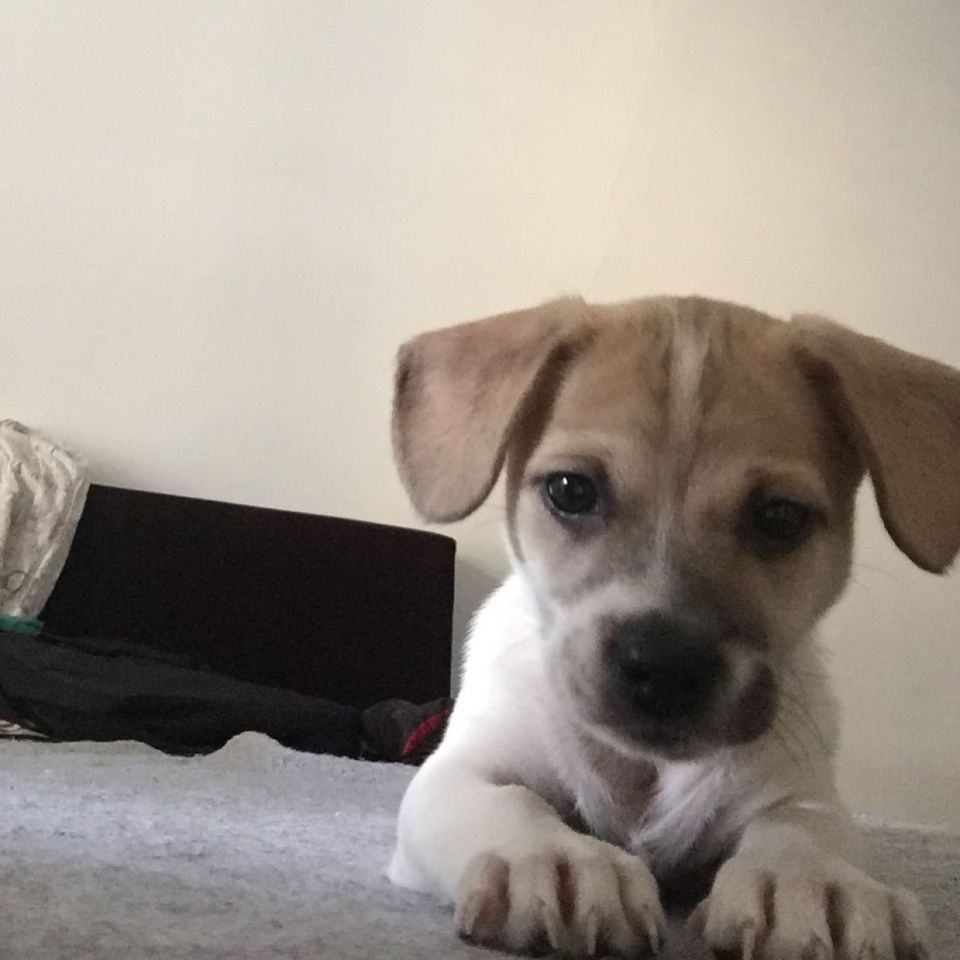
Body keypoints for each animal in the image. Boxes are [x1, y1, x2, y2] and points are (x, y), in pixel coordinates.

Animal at [388, 295, 958, 959]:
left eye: (780, 517)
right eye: (570, 490)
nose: (664, 666)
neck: (642, 772)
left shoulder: (803, 793)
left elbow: (801, 829)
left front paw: (811, 883)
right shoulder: (460, 772)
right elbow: (510, 802)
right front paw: (556, 858)